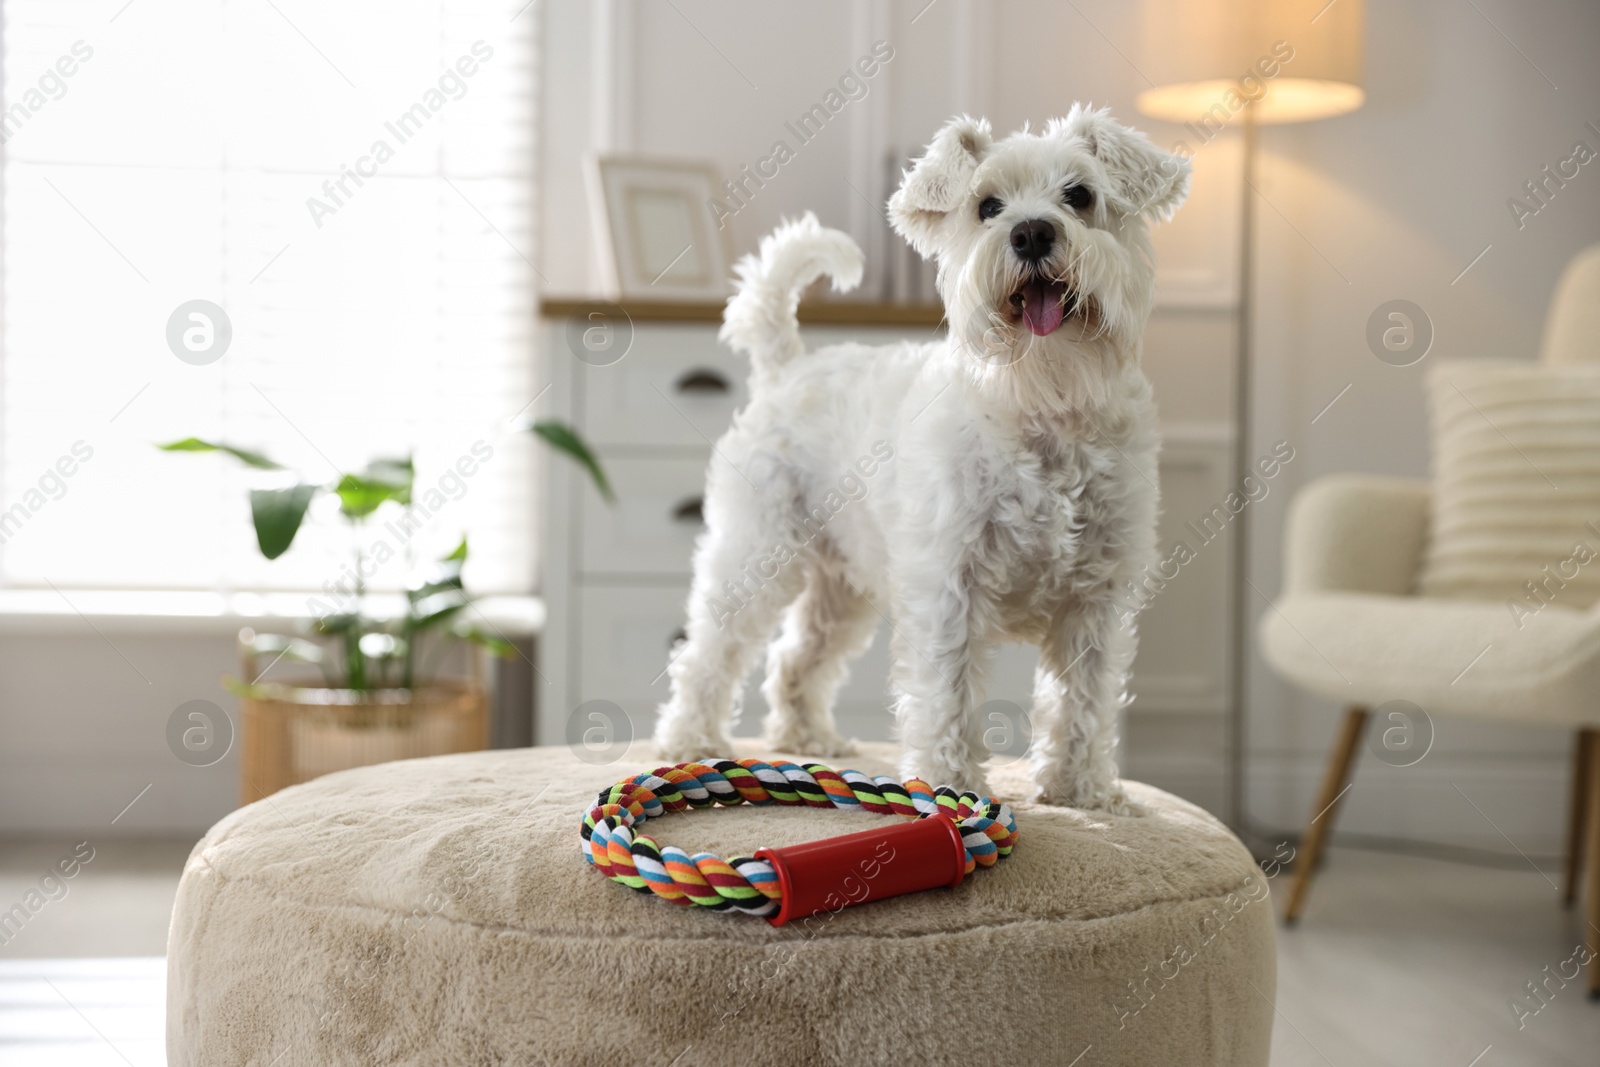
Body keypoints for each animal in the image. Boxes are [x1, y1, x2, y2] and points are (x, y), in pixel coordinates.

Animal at [649, 108, 1190, 809]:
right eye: (987, 205)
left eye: (1080, 194)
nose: (1032, 233)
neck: (1038, 404)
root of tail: (788, 366)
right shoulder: (948, 586)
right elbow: (947, 695)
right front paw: (950, 786)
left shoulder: (1096, 600)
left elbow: (1084, 702)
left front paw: (1082, 791)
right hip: (755, 555)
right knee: (709, 653)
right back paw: (688, 740)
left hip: (841, 586)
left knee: (794, 659)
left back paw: (809, 738)